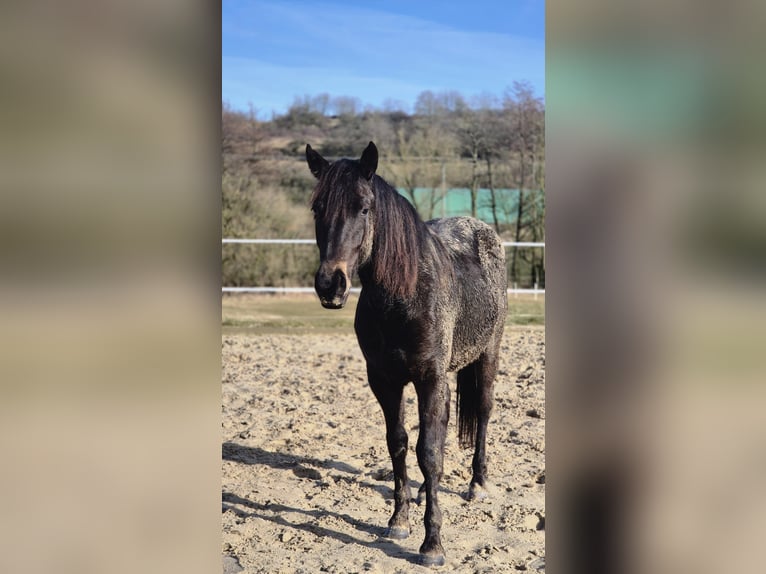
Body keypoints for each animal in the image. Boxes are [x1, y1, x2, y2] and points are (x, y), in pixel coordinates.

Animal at [306, 141, 510, 568]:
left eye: (364, 208)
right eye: (318, 208)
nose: (331, 285)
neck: (404, 296)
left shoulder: (430, 379)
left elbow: (429, 451)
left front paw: (432, 544)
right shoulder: (384, 381)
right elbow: (399, 443)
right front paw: (399, 520)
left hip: (488, 355)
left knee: (483, 413)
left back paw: (478, 484)